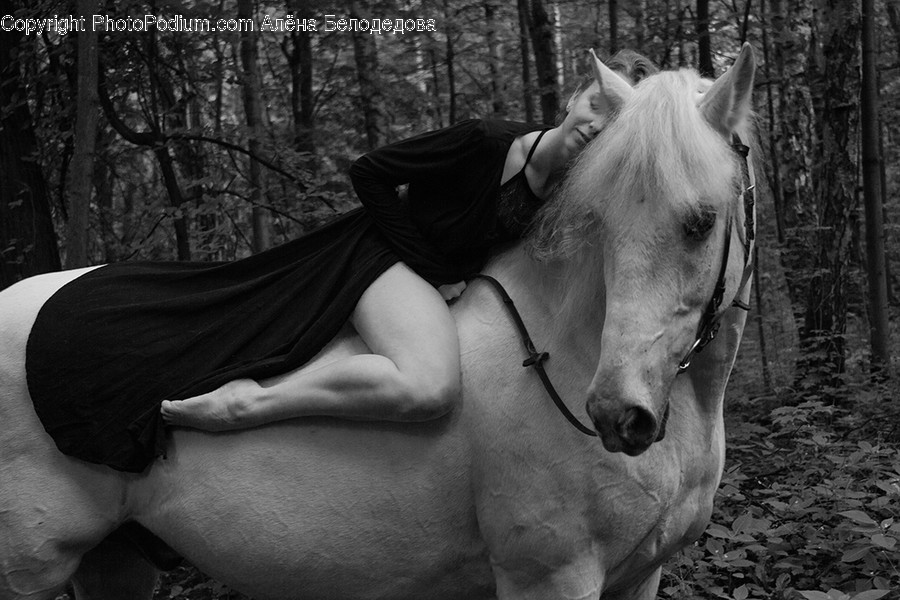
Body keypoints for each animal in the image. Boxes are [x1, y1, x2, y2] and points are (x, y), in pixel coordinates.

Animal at [0, 45, 757, 600]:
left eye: (700, 221)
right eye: (598, 221)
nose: (616, 414)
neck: (561, 352)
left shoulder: (639, 577)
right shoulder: (549, 576)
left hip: (114, 562)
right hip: (27, 570)